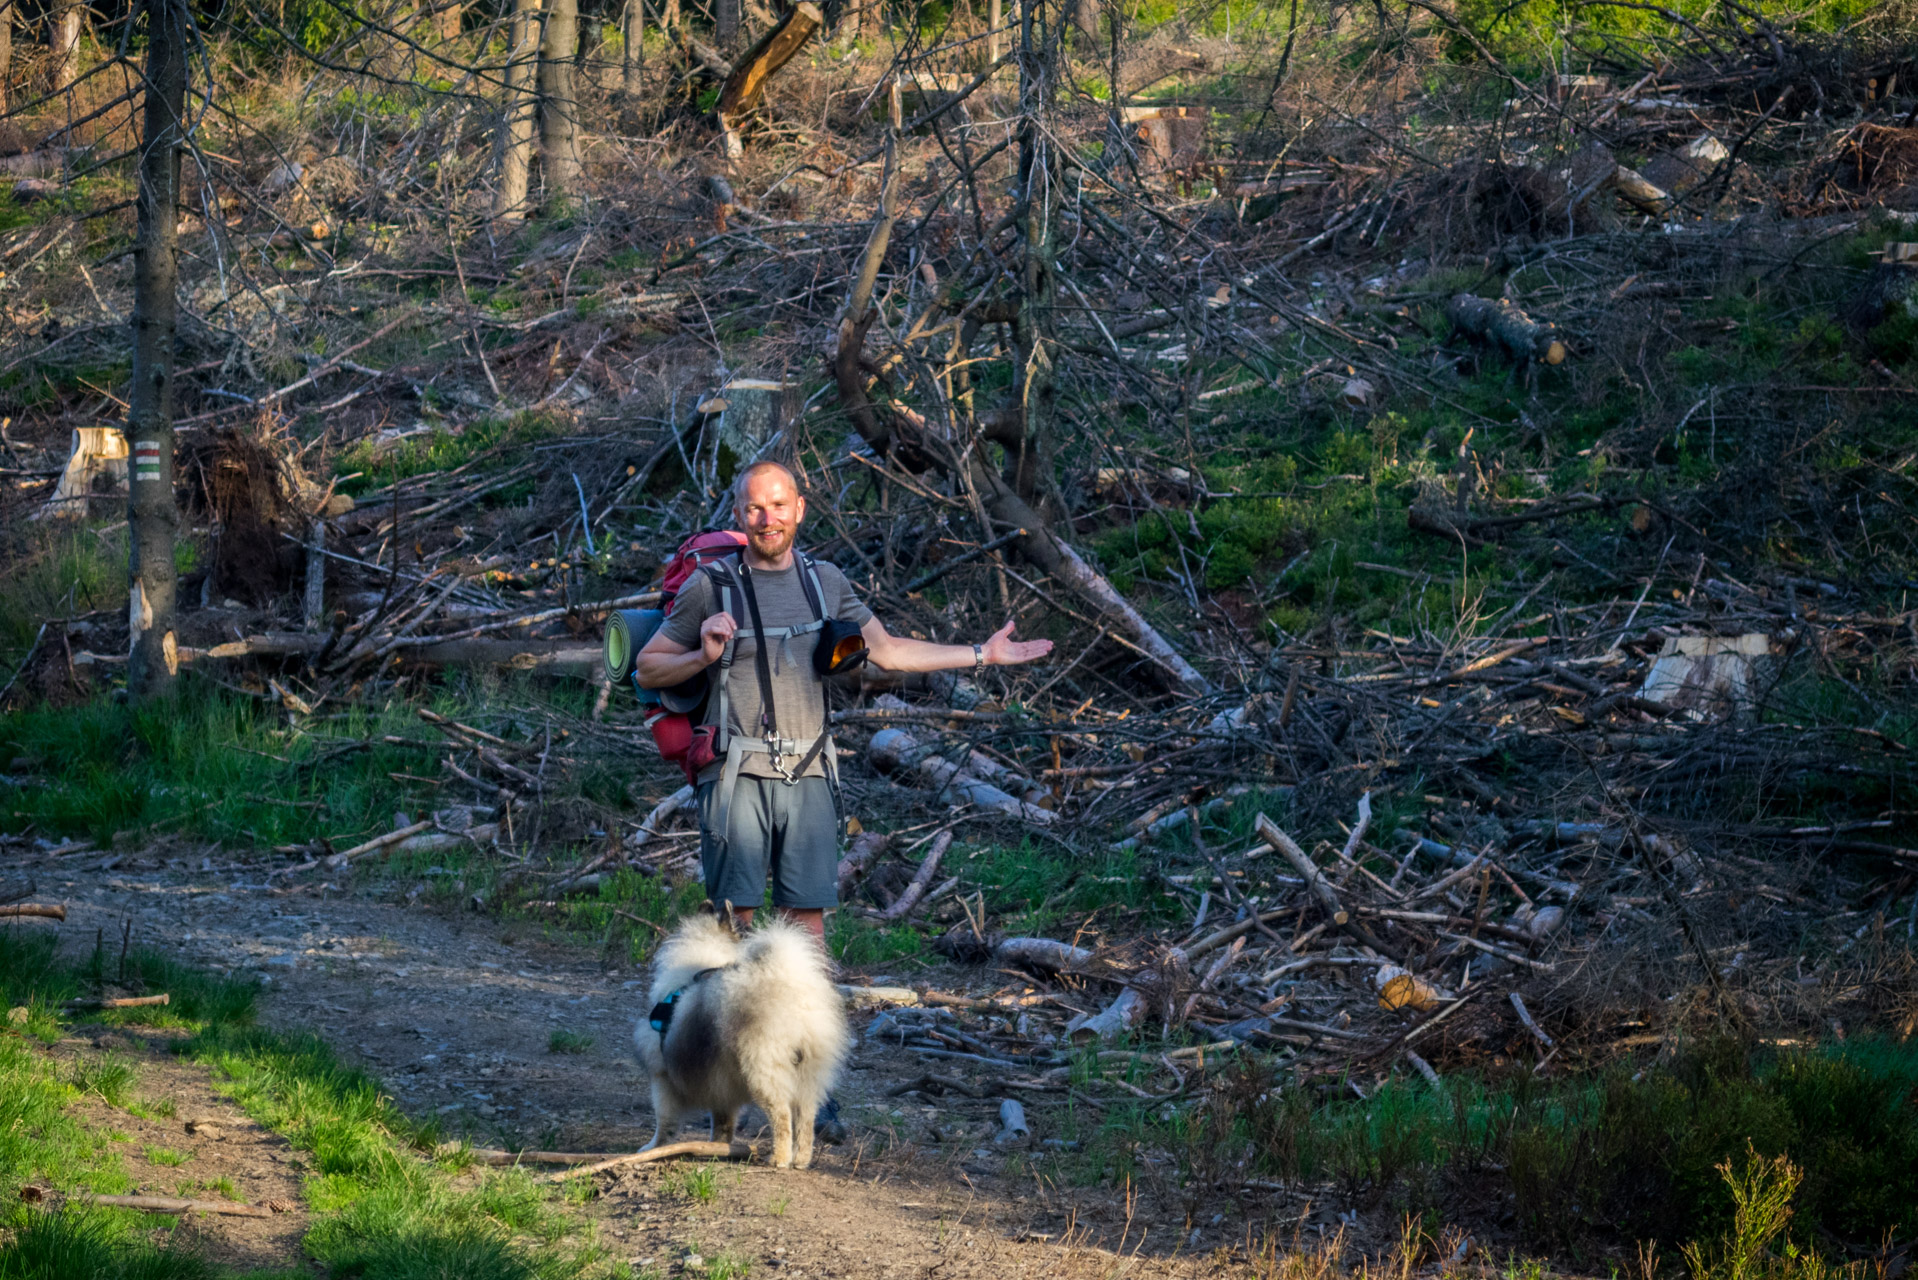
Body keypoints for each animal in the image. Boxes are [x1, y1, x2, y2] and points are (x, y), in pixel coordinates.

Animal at [632, 909, 851, 1174]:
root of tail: (792, 992)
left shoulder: (662, 1076)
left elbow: (664, 1120)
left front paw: (652, 1148)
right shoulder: (719, 1083)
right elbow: (722, 1122)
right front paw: (716, 1147)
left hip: (763, 1071)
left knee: (782, 1116)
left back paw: (779, 1158)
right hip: (809, 1075)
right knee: (805, 1120)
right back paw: (800, 1159)